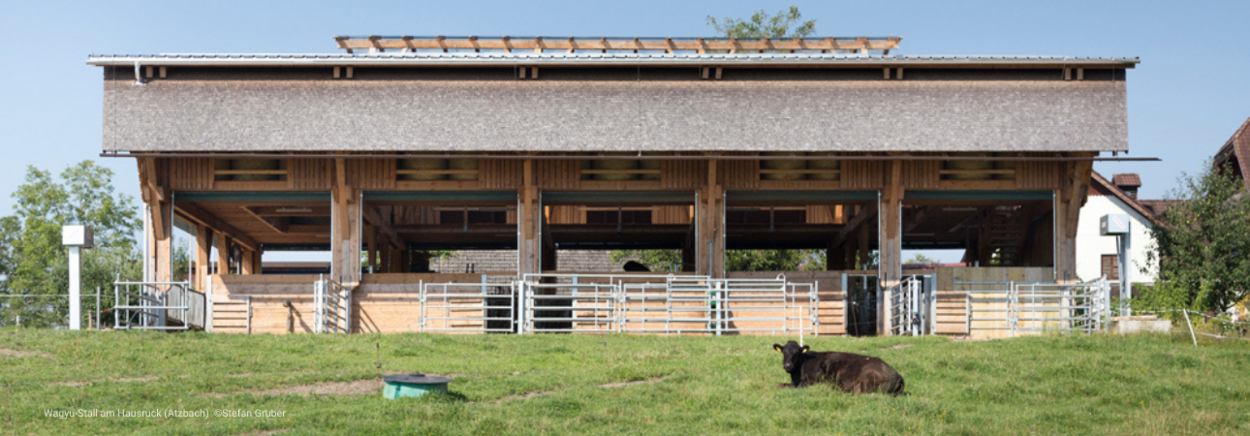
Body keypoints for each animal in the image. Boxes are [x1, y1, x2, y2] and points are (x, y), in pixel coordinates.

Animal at [765, 339, 905, 394]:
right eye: (784, 352)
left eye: (797, 353)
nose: (787, 365)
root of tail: (898, 376)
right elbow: (780, 385)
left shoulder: (811, 381)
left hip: (867, 379)